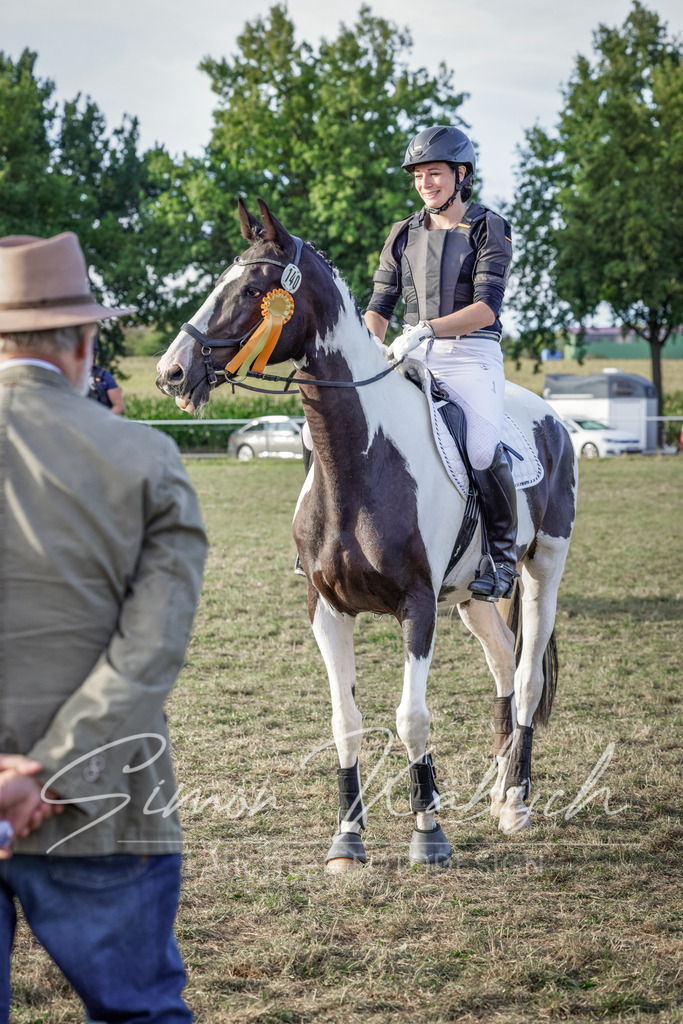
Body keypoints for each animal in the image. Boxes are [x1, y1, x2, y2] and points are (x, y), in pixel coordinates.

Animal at [156, 198, 577, 872]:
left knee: (529, 678)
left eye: (251, 289)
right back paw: (495, 791)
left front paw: (428, 833)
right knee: (504, 666)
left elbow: (412, 718)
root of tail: (553, 420)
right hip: (473, 598)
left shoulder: (417, 607)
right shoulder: (326, 608)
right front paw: (347, 840)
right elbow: (345, 721)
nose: (172, 372)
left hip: (544, 570)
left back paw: (516, 804)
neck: (358, 461)